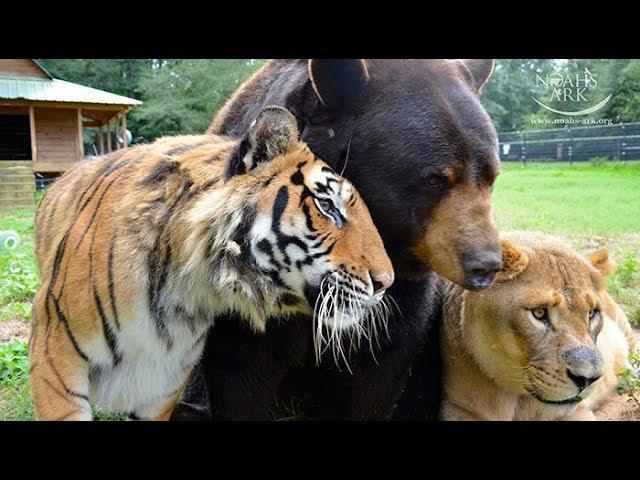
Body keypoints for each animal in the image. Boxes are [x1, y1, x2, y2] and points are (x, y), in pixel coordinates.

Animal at [440, 231, 636, 418]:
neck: (516, 401)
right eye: (539, 312)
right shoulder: (455, 407)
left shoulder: (578, 411)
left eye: (591, 313)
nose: (588, 379)